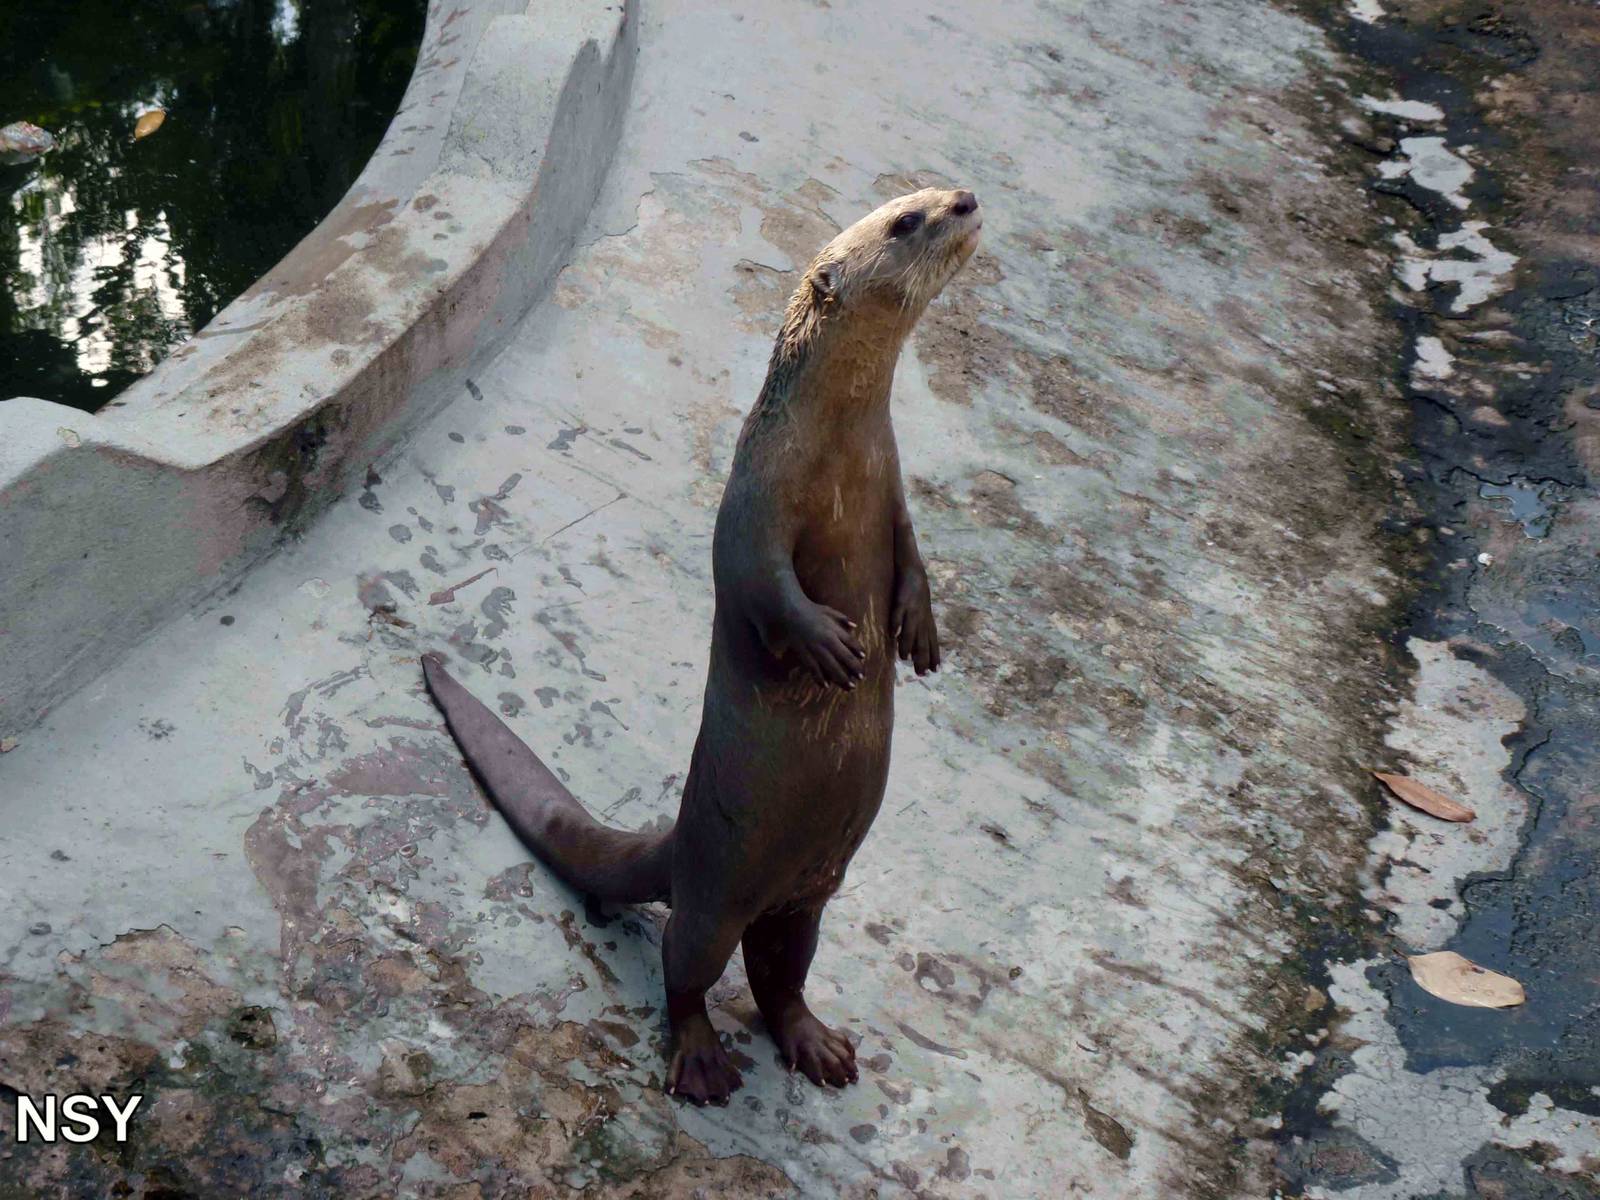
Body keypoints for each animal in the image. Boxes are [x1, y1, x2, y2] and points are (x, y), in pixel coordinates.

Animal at [422, 186, 981, 1105]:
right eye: (905, 221)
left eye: (932, 193)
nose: (964, 200)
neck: (843, 456)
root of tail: (678, 837)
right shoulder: (753, 499)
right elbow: (756, 581)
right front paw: (829, 644)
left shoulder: (893, 487)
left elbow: (914, 556)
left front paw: (922, 632)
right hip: (719, 888)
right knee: (684, 958)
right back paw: (701, 1062)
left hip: (806, 898)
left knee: (780, 975)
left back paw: (818, 1046)